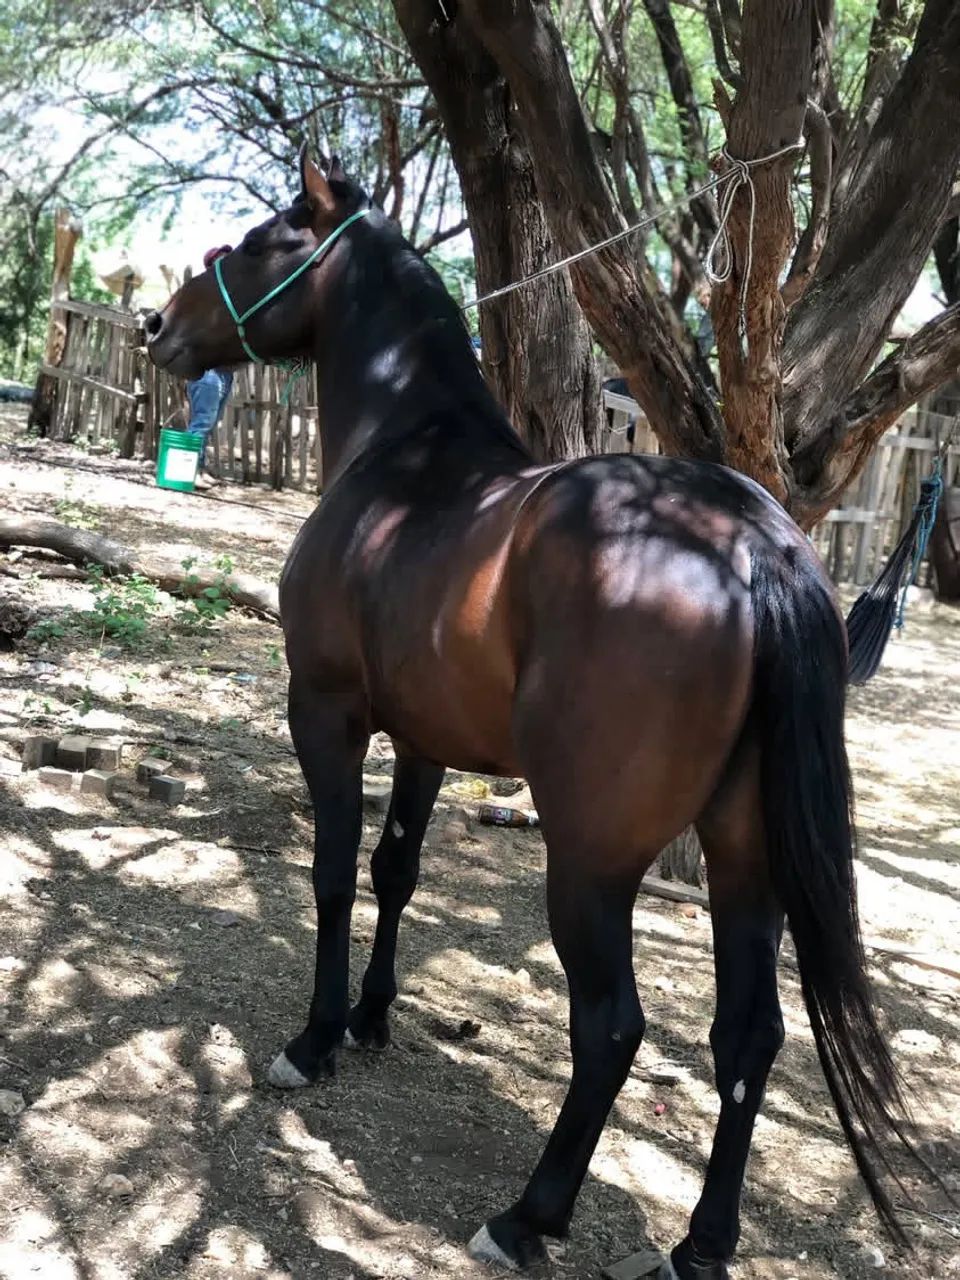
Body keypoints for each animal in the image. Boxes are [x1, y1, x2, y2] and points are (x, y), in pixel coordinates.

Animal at [145, 151, 921, 1279]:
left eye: (255, 241)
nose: (159, 324)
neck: (406, 457)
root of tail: (748, 543)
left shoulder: (327, 712)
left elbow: (333, 870)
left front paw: (317, 1036)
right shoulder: (424, 738)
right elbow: (396, 868)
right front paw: (372, 1016)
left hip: (589, 862)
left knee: (612, 1027)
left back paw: (527, 1215)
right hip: (746, 856)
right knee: (750, 1035)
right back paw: (702, 1241)